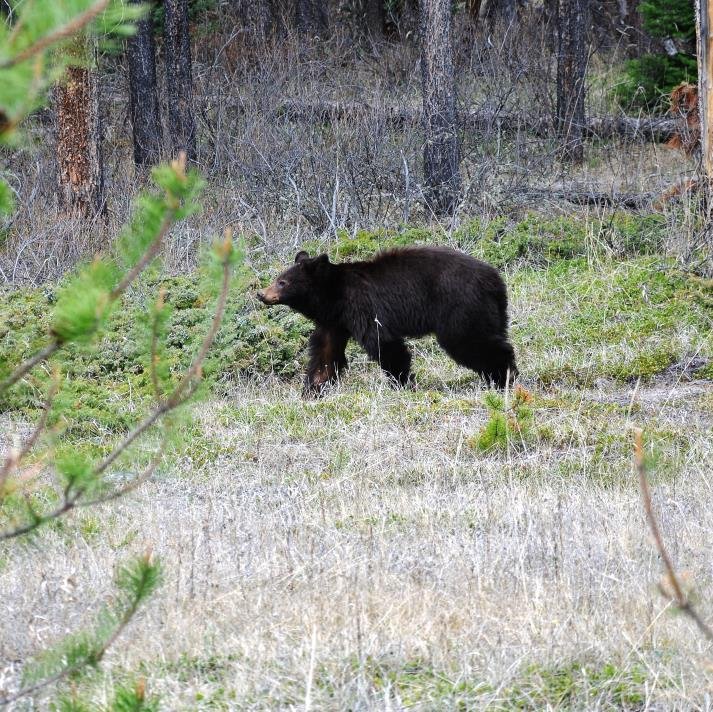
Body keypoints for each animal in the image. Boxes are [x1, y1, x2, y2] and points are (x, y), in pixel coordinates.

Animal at [256, 248, 516, 398]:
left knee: (471, 342)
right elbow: (325, 353)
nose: (261, 294)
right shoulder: (335, 322)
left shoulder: (364, 308)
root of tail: (495, 280)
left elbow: (384, 343)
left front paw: (402, 382)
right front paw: (313, 389)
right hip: (492, 313)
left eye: (282, 282)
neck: (336, 296)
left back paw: (503, 376)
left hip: (460, 308)